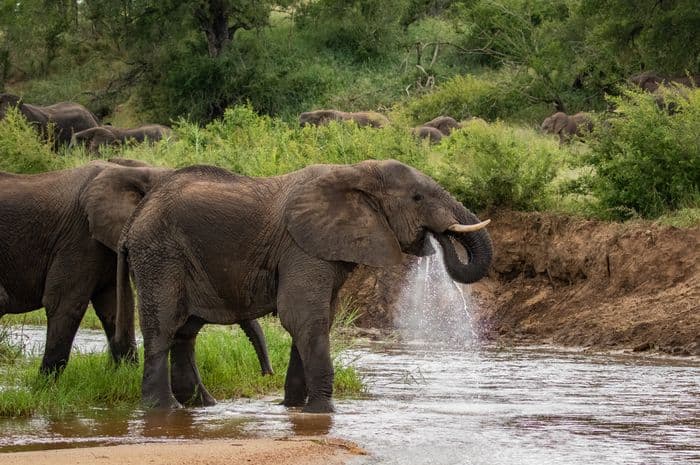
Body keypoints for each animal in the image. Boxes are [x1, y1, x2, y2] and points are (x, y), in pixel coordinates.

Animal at [0, 159, 274, 376]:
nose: (266, 374)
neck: (135, 170)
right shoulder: (78, 238)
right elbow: (65, 303)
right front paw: (45, 385)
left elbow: (116, 306)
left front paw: (127, 377)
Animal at [114, 159, 493, 412]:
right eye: (417, 198)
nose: (435, 240)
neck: (355, 173)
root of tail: (135, 217)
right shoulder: (301, 247)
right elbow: (304, 317)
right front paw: (322, 412)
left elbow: (314, 319)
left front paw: (295, 408)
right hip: (160, 254)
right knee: (163, 327)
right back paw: (163, 410)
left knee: (185, 332)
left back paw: (203, 406)